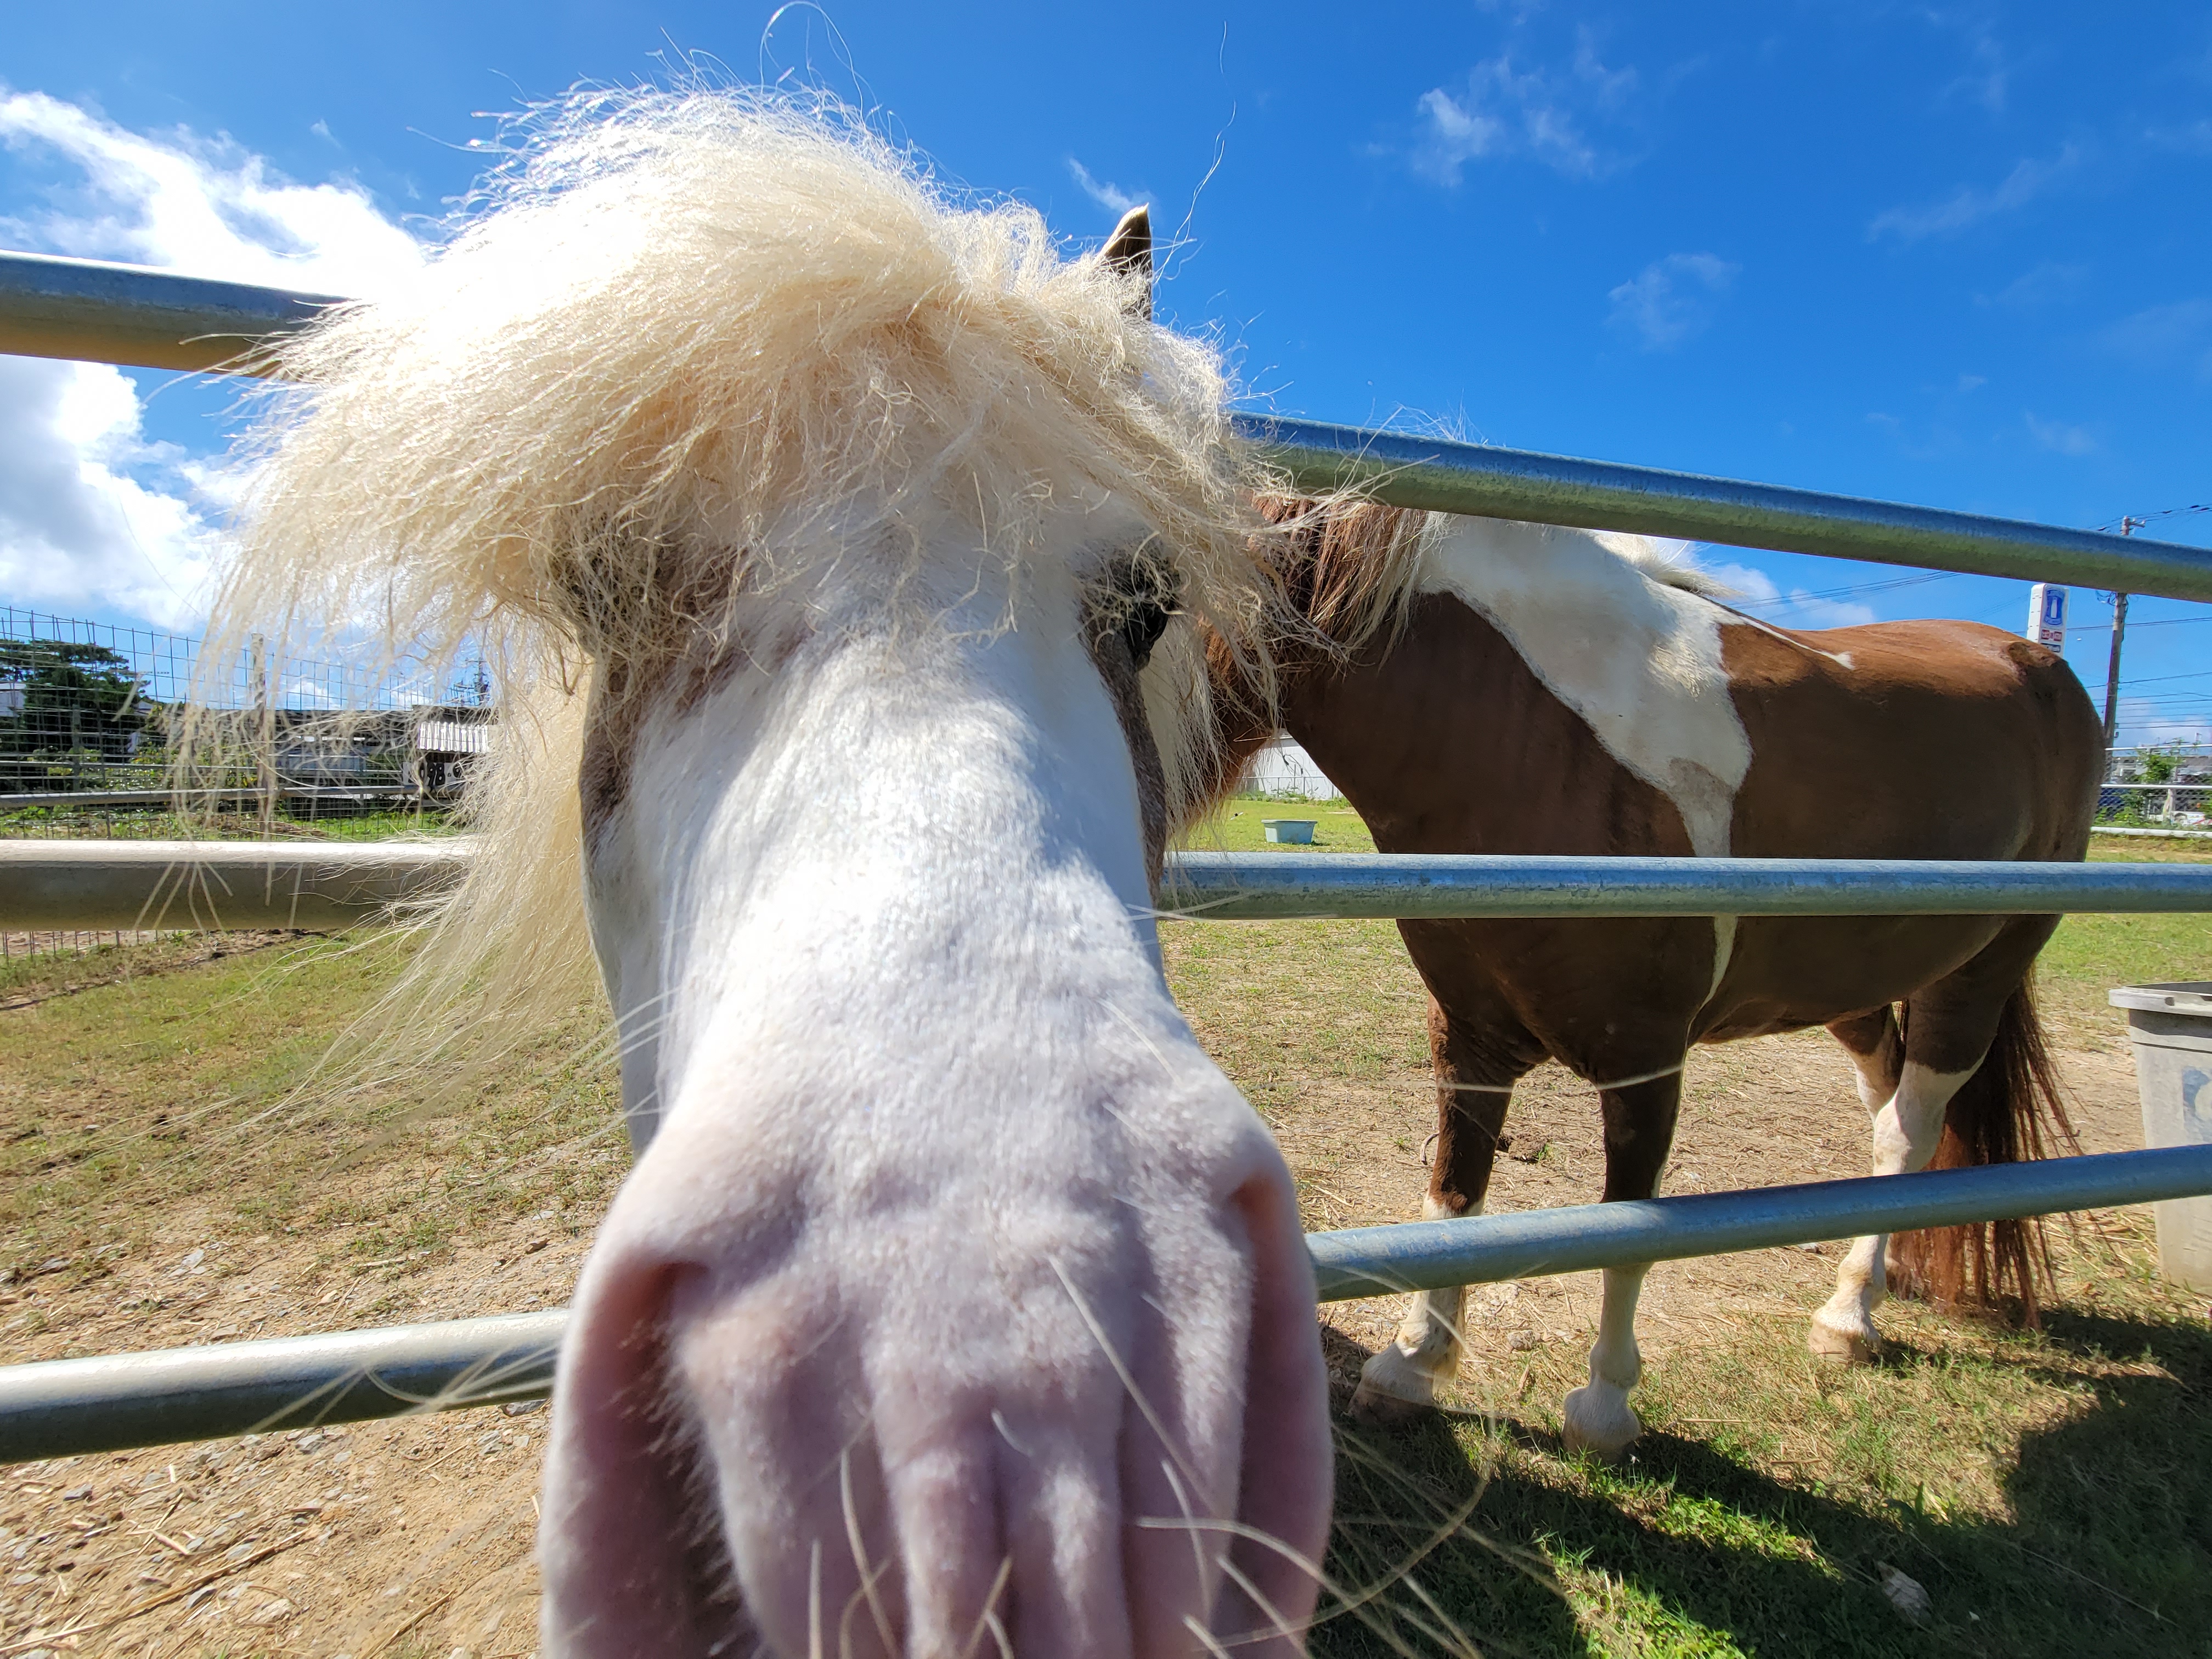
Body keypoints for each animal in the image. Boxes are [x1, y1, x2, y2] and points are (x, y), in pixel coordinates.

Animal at [1203, 500, 2097, 1460]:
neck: (1537, 740)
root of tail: (2035, 661)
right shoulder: (1468, 1036)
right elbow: (1456, 1191)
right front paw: (1409, 1368)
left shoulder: (1644, 1059)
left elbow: (1624, 1226)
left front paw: (1603, 1409)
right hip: (1852, 989)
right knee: (1890, 1109)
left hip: (1976, 978)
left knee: (1909, 1129)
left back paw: (1849, 1320)